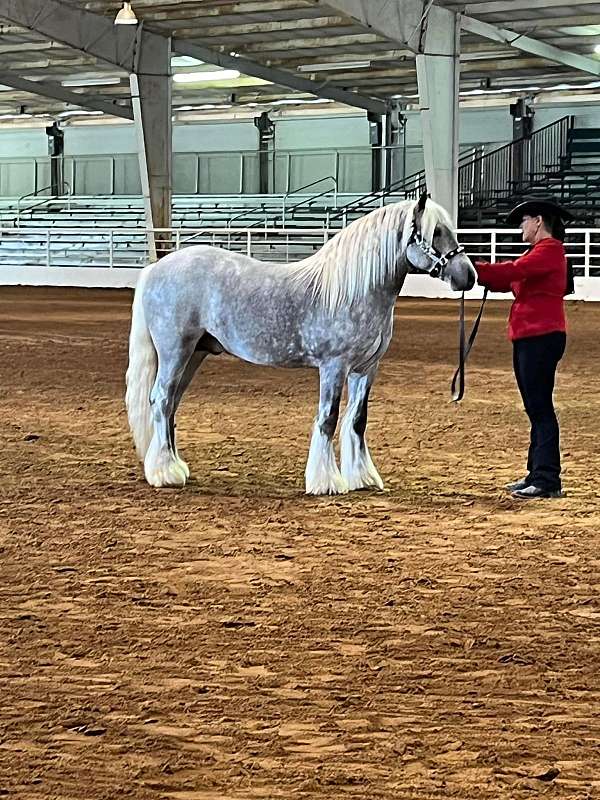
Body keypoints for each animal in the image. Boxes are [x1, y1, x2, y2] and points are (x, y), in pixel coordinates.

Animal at [125, 195, 474, 494]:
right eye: (436, 231)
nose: (468, 277)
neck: (354, 290)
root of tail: (155, 268)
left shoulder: (366, 368)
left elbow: (358, 421)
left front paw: (361, 478)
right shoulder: (334, 366)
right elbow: (328, 418)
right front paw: (326, 482)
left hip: (194, 354)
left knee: (171, 404)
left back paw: (173, 466)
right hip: (175, 352)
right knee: (161, 400)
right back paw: (165, 473)